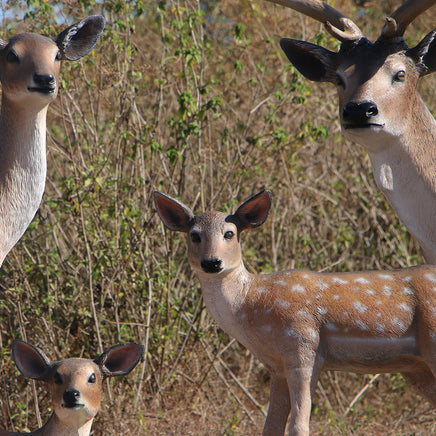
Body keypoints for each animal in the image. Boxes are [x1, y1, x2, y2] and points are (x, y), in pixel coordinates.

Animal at [154, 189, 436, 434]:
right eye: (194, 235)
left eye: (229, 233)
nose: (212, 262)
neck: (252, 306)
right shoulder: (276, 364)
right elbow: (271, 426)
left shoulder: (303, 342)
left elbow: (299, 425)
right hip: (415, 367)